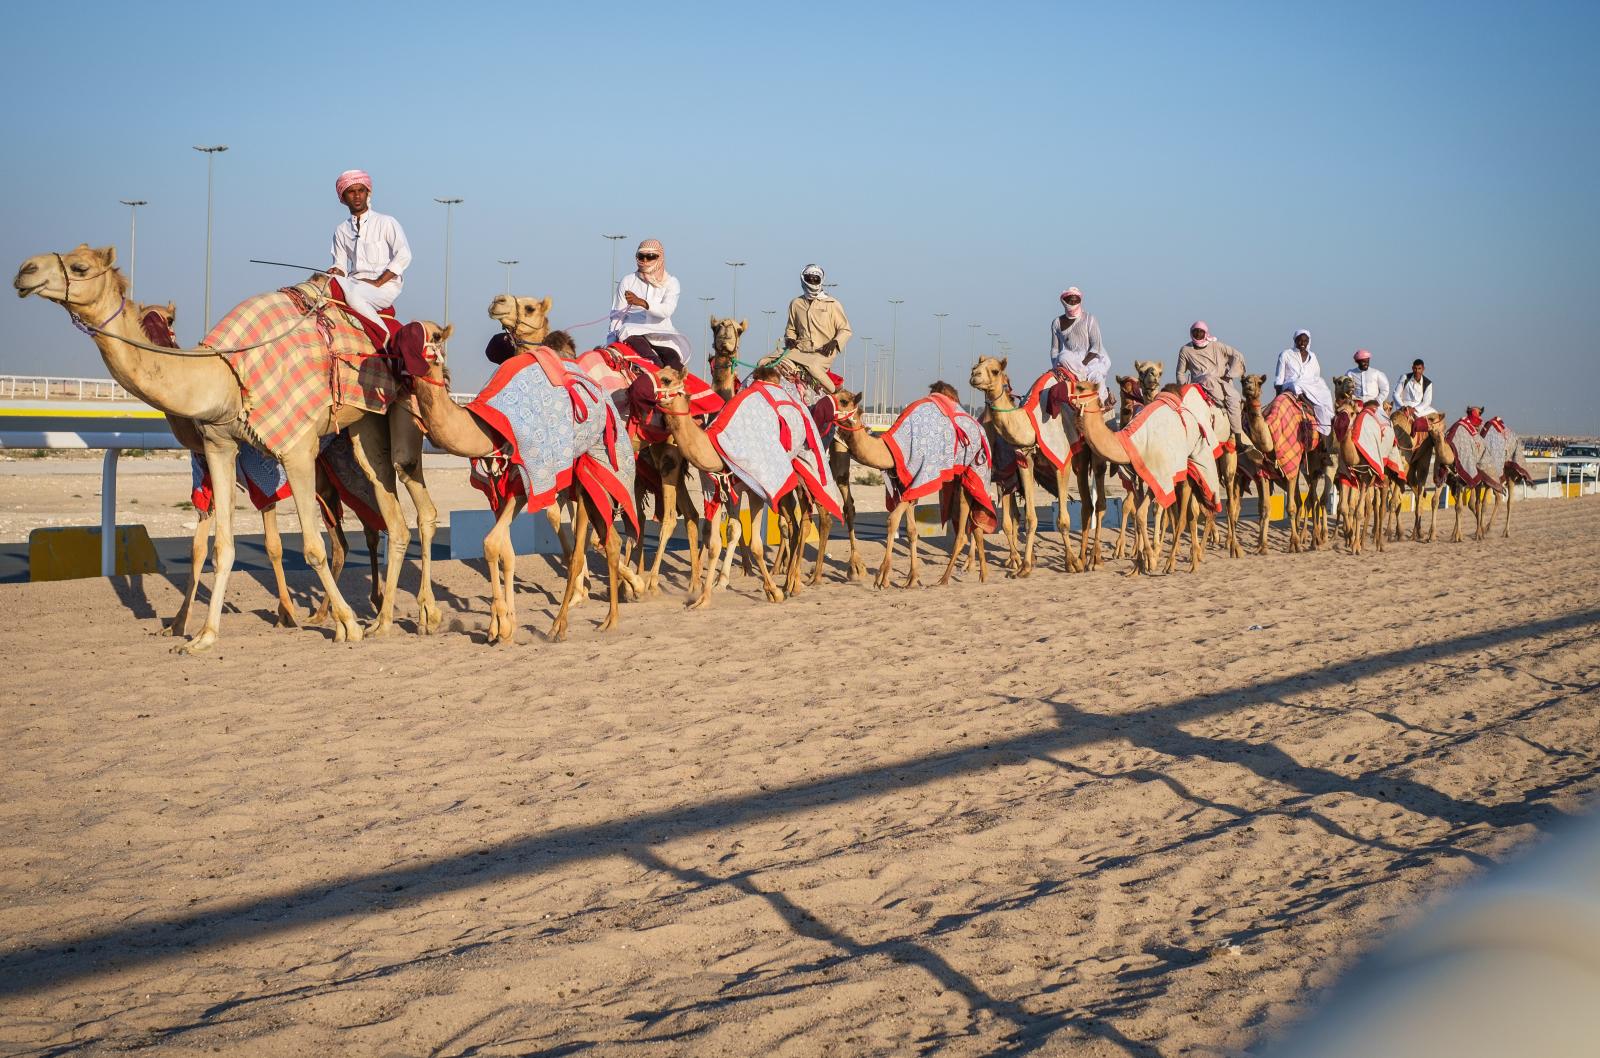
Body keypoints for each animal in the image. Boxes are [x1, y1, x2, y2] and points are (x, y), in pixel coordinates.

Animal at [15, 244, 441, 646]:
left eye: (80, 267)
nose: (24, 270)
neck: (227, 376)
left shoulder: (293, 451)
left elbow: (305, 547)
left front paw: (340, 625)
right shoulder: (217, 448)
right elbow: (216, 549)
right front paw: (198, 635)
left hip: (389, 423)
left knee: (405, 506)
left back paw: (416, 616)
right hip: (359, 433)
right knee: (387, 517)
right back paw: (377, 620)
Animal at [403, 321, 633, 640]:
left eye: (435, 336)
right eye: (402, 333)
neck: (488, 429)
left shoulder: (525, 484)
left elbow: (491, 543)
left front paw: (501, 625)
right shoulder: (498, 490)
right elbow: (505, 550)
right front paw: (503, 623)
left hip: (594, 473)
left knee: (583, 550)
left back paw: (561, 625)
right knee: (608, 541)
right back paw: (608, 618)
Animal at [832, 385, 992, 589]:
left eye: (844, 401)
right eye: (833, 394)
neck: (891, 451)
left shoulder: (920, 478)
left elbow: (892, 520)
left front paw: (882, 577)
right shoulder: (905, 486)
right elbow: (911, 530)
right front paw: (912, 578)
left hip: (974, 469)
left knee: (963, 529)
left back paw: (944, 579)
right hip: (960, 480)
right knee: (976, 526)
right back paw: (983, 576)